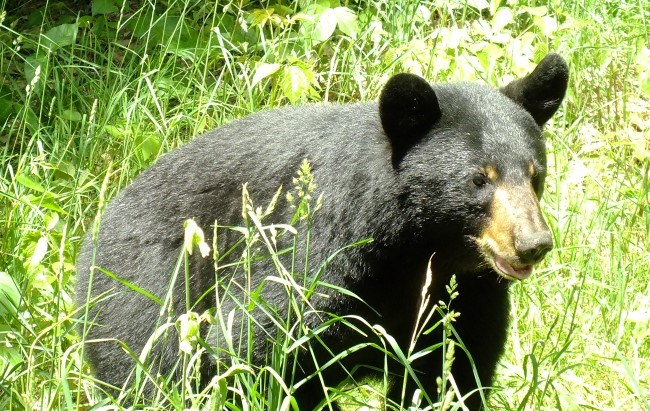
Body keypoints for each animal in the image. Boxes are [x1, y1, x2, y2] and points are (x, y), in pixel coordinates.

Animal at [76, 53, 569, 410]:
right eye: (479, 179)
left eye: (535, 174)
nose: (533, 244)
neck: (417, 251)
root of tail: (95, 232)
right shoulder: (319, 254)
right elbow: (255, 341)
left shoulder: (467, 294)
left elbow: (453, 369)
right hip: (147, 292)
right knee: (150, 371)